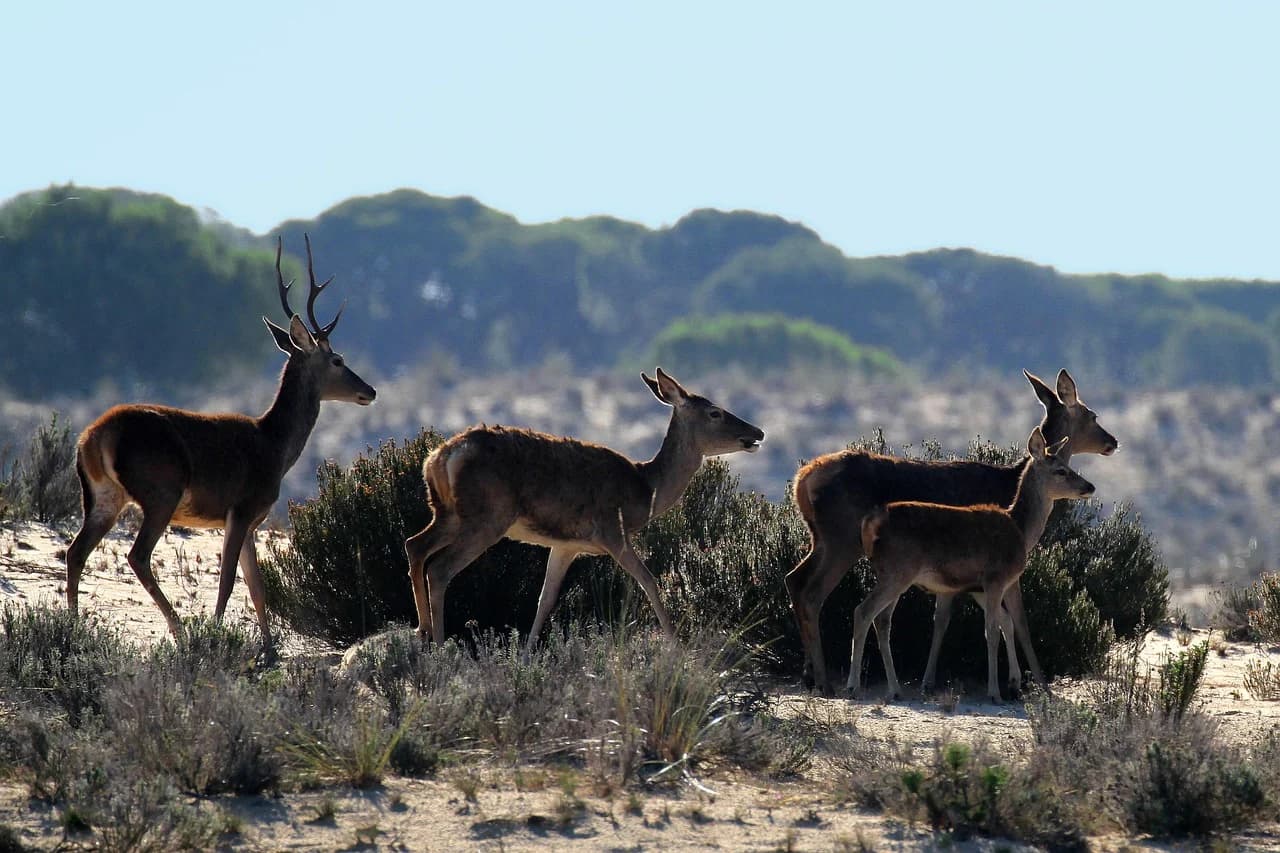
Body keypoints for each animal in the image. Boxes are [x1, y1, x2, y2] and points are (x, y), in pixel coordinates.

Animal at [65, 236, 376, 657]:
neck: (275, 446)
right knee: (137, 555)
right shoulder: (242, 507)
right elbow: (229, 581)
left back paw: (73, 627)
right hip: (161, 490)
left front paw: (269, 649)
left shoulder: (252, 520)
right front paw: (217, 635)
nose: (370, 391)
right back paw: (181, 632)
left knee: (76, 551)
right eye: (338, 359)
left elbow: (257, 586)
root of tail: (94, 437)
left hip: (102, 496)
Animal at [404, 368, 765, 646]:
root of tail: (441, 456)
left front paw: (526, 655)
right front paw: (678, 649)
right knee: (440, 568)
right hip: (487, 517)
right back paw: (439, 644)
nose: (758, 432)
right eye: (715, 412)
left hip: (448, 512)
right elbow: (649, 582)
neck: (645, 489)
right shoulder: (612, 531)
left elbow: (545, 599)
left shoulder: (566, 545)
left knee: (415, 545)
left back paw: (422, 632)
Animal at [850, 427, 1095, 702]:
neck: (1020, 529)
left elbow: (1012, 624)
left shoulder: (987, 586)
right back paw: (854, 686)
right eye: (1060, 470)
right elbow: (997, 630)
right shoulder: (997, 578)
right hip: (897, 571)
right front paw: (998, 691)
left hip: (894, 574)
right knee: (863, 612)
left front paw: (1025, 684)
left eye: (1068, 465)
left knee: (882, 620)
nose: (1090, 486)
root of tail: (870, 523)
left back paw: (894, 689)